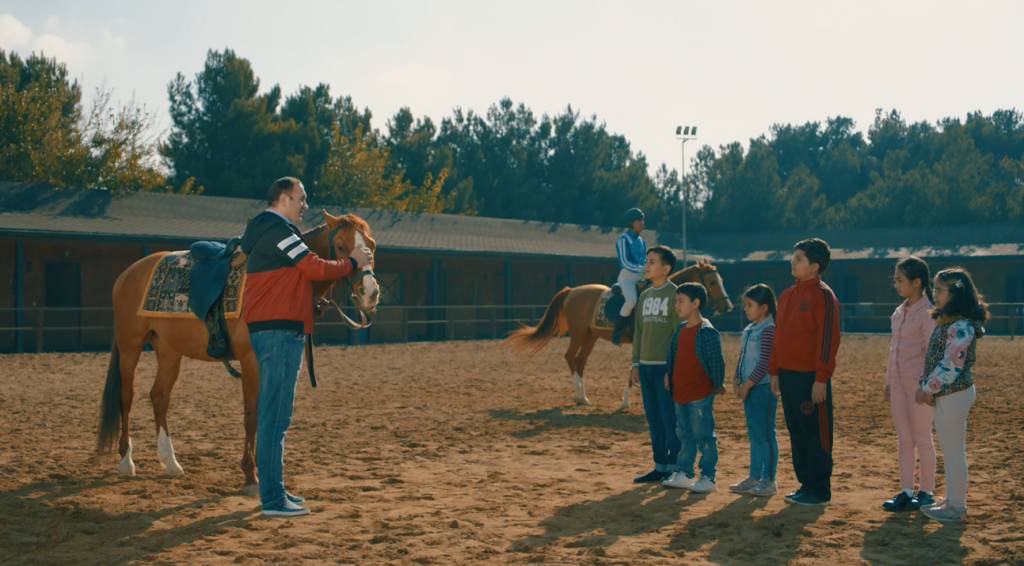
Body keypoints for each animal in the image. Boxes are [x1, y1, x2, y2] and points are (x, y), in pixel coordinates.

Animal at [94, 209, 376, 491]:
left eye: (371, 246)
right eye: (341, 246)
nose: (370, 294)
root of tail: (128, 273)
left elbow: (268, 414)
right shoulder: (251, 361)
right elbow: (251, 416)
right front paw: (251, 476)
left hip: (168, 351)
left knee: (159, 397)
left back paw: (170, 462)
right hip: (130, 347)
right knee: (126, 397)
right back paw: (126, 461)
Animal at [505, 257, 733, 407]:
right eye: (712, 282)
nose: (727, 307)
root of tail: (572, 290)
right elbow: (635, 370)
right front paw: (625, 400)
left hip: (591, 336)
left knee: (580, 361)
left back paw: (583, 396)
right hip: (579, 332)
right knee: (570, 356)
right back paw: (578, 393)